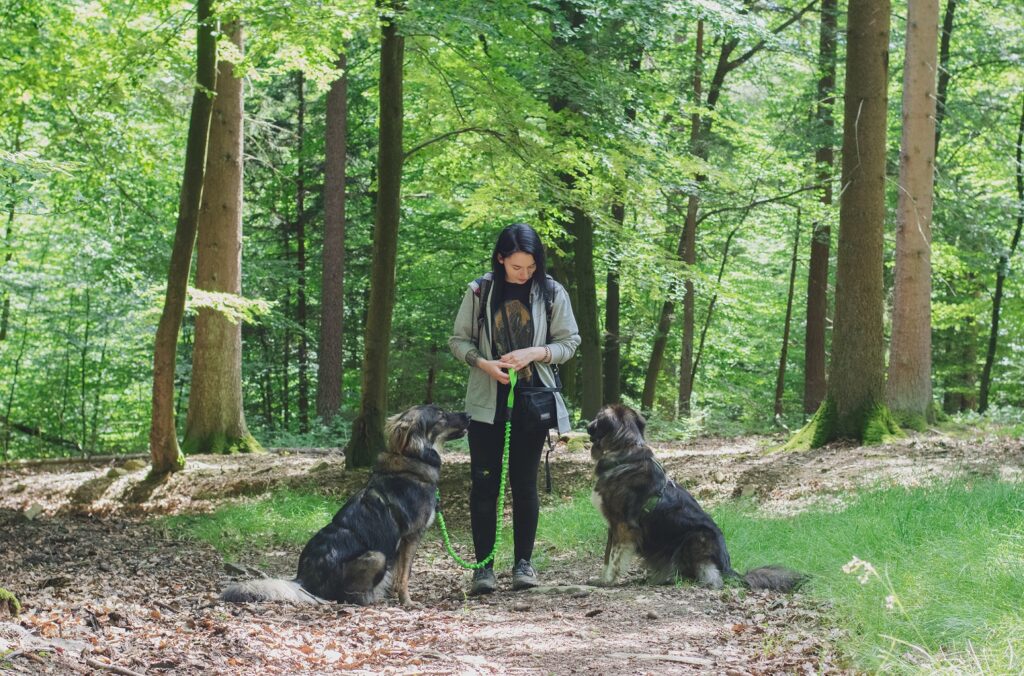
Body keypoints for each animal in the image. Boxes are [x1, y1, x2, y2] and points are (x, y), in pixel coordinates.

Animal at [224, 403, 471, 606]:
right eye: (441, 415)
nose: (469, 415)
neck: (411, 463)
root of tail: (303, 580)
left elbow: (398, 575)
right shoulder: (412, 537)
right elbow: (404, 576)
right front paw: (407, 602)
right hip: (376, 556)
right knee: (347, 597)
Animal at [589, 403, 802, 589]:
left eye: (598, 418)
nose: (587, 425)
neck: (624, 452)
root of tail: (729, 569)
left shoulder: (623, 526)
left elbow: (614, 557)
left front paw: (607, 581)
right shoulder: (613, 526)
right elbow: (607, 556)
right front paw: (602, 577)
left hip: (697, 537)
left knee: (712, 577)